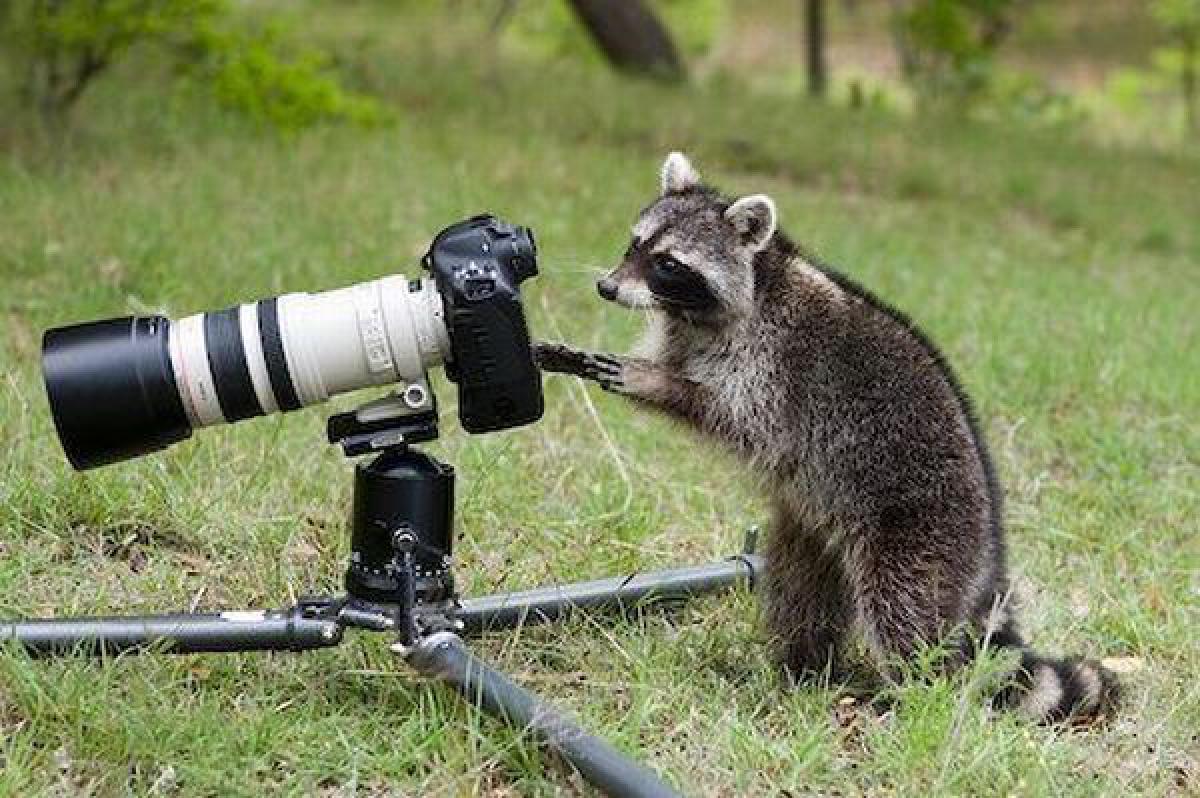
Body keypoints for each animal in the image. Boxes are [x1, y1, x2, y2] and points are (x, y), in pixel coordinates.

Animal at [535, 151, 1113, 720]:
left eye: (669, 264)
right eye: (635, 243)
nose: (607, 287)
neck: (746, 288)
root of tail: (991, 544)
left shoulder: (772, 368)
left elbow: (731, 416)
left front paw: (648, 379)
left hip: (922, 532)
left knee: (903, 614)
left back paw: (916, 697)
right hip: (812, 530)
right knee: (799, 592)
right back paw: (801, 668)